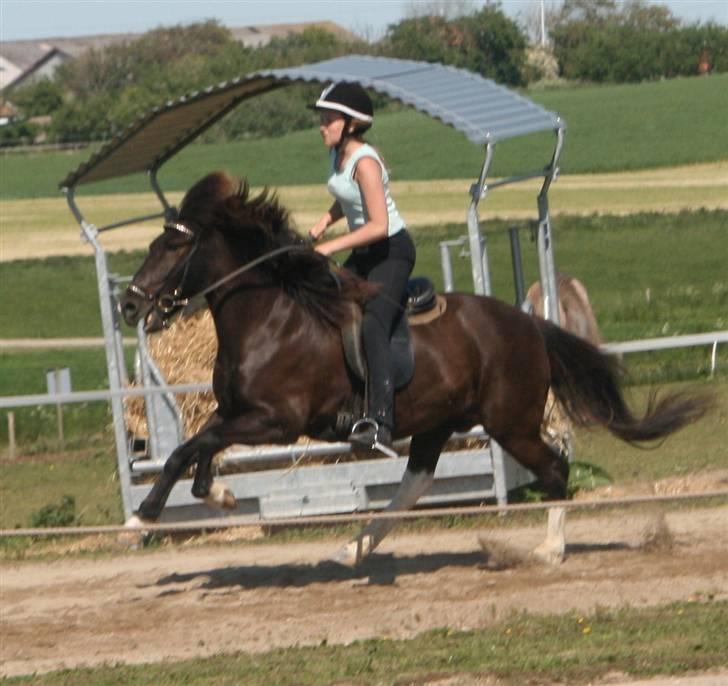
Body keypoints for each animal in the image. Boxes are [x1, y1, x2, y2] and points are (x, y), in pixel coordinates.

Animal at [121, 173, 712, 568]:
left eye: (174, 245)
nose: (129, 305)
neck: (272, 316)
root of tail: (526, 322)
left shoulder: (278, 421)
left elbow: (189, 447)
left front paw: (141, 515)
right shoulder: (236, 412)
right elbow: (197, 445)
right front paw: (213, 495)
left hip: (510, 422)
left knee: (555, 472)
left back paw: (547, 549)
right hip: (437, 421)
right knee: (417, 481)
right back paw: (352, 548)